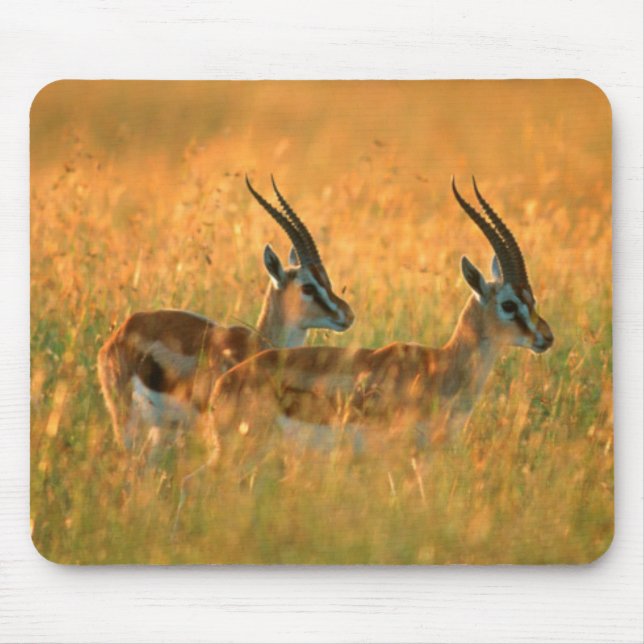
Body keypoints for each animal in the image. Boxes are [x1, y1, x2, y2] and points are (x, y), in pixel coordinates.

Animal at [97, 177, 355, 453]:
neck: (256, 345)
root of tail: (121, 330)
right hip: (127, 421)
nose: (347, 315)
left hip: (160, 430)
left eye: (327, 280)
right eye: (308, 287)